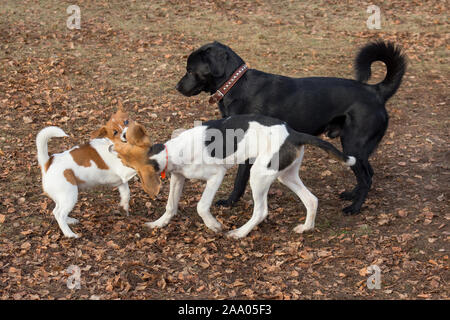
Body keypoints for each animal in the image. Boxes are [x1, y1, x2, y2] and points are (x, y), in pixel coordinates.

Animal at [113, 114, 356, 239]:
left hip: (258, 175)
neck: (172, 151)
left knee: (261, 211)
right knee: (311, 200)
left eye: (125, 162)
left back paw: (239, 233)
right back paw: (306, 228)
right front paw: (159, 224)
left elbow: (201, 206)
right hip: (285, 176)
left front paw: (214, 226)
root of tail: (294, 134)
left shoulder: (216, 176)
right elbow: (171, 206)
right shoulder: (178, 178)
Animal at [177, 40, 408, 215]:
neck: (236, 85)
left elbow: (239, 180)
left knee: (367, 177)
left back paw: (354, 208)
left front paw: (230, 201)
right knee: (367, 173)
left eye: (190, 70)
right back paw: (352, 194)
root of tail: (376, 91)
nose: (177, 87)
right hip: (355, 148)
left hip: (354, 145)